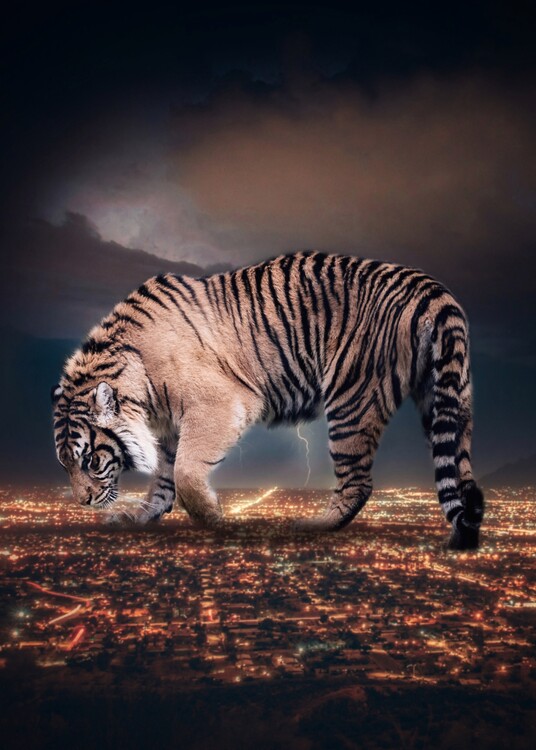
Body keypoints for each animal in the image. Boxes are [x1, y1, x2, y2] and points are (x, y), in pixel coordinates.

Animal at [52, 251, 484, 550]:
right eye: (66, 465)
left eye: (90, 461)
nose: (83, 502)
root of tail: (430, 289)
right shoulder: (169, 428)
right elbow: (163, 477)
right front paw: (139, 516)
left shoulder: (219, 404)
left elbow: (186, 471)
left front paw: (213, 518)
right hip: (446, 398)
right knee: (459, 470)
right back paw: (466, 530)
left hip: (351, 400)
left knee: (358, 482)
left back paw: (314, 526)